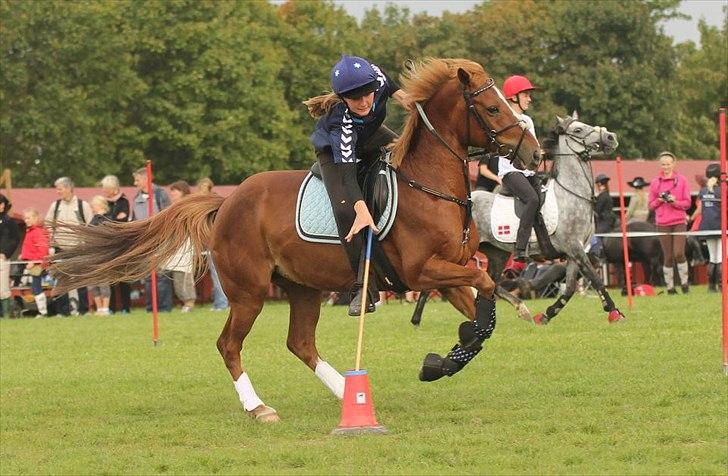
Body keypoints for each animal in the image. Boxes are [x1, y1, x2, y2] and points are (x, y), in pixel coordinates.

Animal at [49, 58, 540, 420]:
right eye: (493, 109)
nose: (535, 154)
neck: (430, 185)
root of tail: (225, 202)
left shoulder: (450, 272)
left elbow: (483, 313)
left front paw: (446, 359)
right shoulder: (424, 272)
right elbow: (487, 286)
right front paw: (447, 357)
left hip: (303, 287)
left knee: (300, 344)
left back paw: (347, 391)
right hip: (248, 293)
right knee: (229, 345)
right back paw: (259, 407)